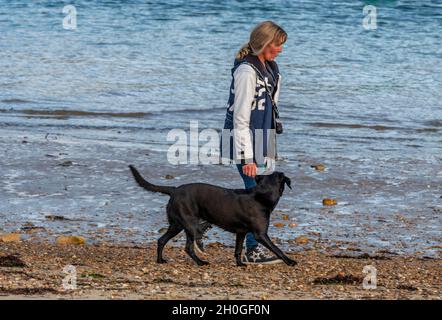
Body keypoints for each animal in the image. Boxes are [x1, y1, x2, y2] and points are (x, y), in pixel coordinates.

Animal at [128, 166, 296, 266]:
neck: (261, 194)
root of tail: (174, 190)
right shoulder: (260, 234)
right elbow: (276, 248)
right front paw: (289, 261)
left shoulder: (241, 232)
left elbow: (238, 250)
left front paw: (239, 264)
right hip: (189, 224)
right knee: (188, 247)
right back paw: (200, 262)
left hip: (177, 225)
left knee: (161, 240)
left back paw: (160, 260)